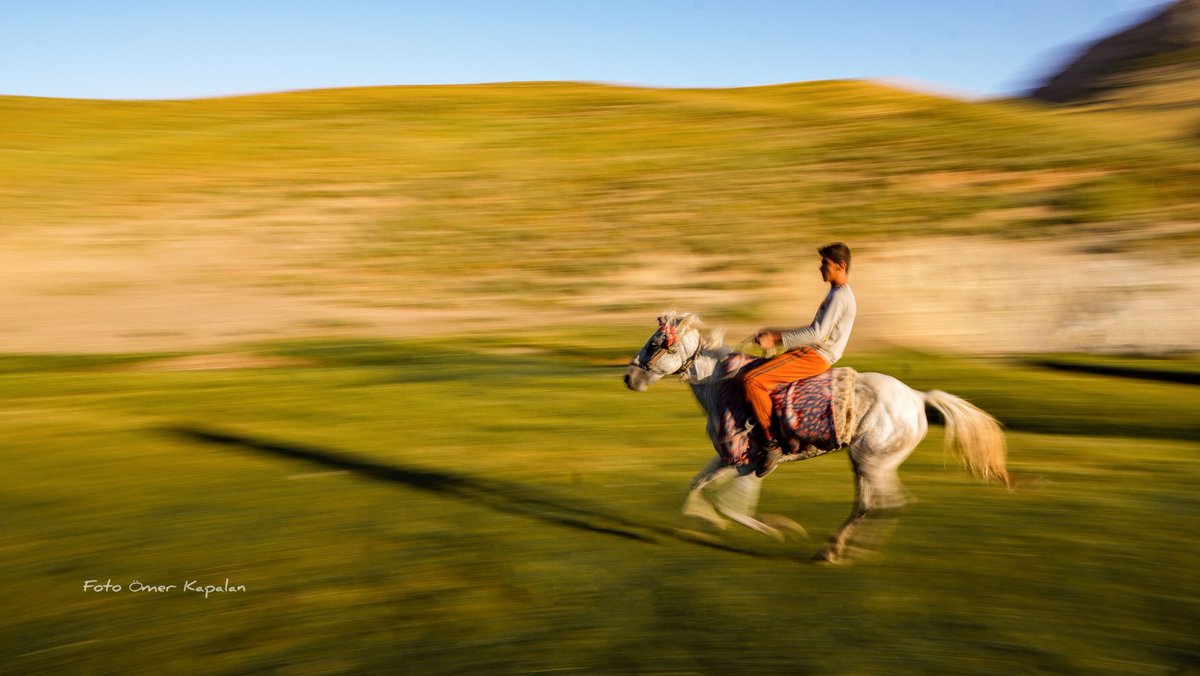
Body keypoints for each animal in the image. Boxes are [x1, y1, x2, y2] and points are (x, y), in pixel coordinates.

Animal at [624, 309, 1008, 561]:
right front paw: (694, 526)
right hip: (868, 464)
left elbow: (732, 506)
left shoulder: (747, 463)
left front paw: (779, 530)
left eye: (656, 342)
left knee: (884, 503)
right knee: (876, 503)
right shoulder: (727, 458)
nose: (629, 378)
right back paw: (840, 548)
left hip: (872, 462)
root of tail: (917, 397)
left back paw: (838, 550)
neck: (720, 385)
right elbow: (697, 486)